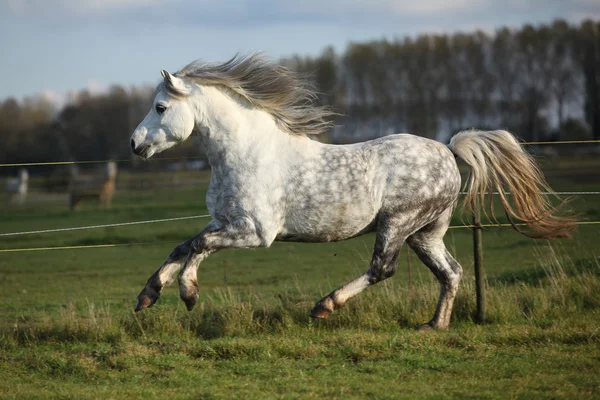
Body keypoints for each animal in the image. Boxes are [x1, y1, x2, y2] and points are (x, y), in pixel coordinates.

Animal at [129, 52, 576, 328]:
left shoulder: (255, 232)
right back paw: (434, 325)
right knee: (451, 272)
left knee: (383, 268)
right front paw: (148, 295)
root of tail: (450, 151)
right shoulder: (224, 221)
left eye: (160, 107)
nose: (135, 144)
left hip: (398, 222)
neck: (245, 153)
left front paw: (188, 294)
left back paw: (325, 306)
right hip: (425, 234)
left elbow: (198, 247)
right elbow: (184, 245)